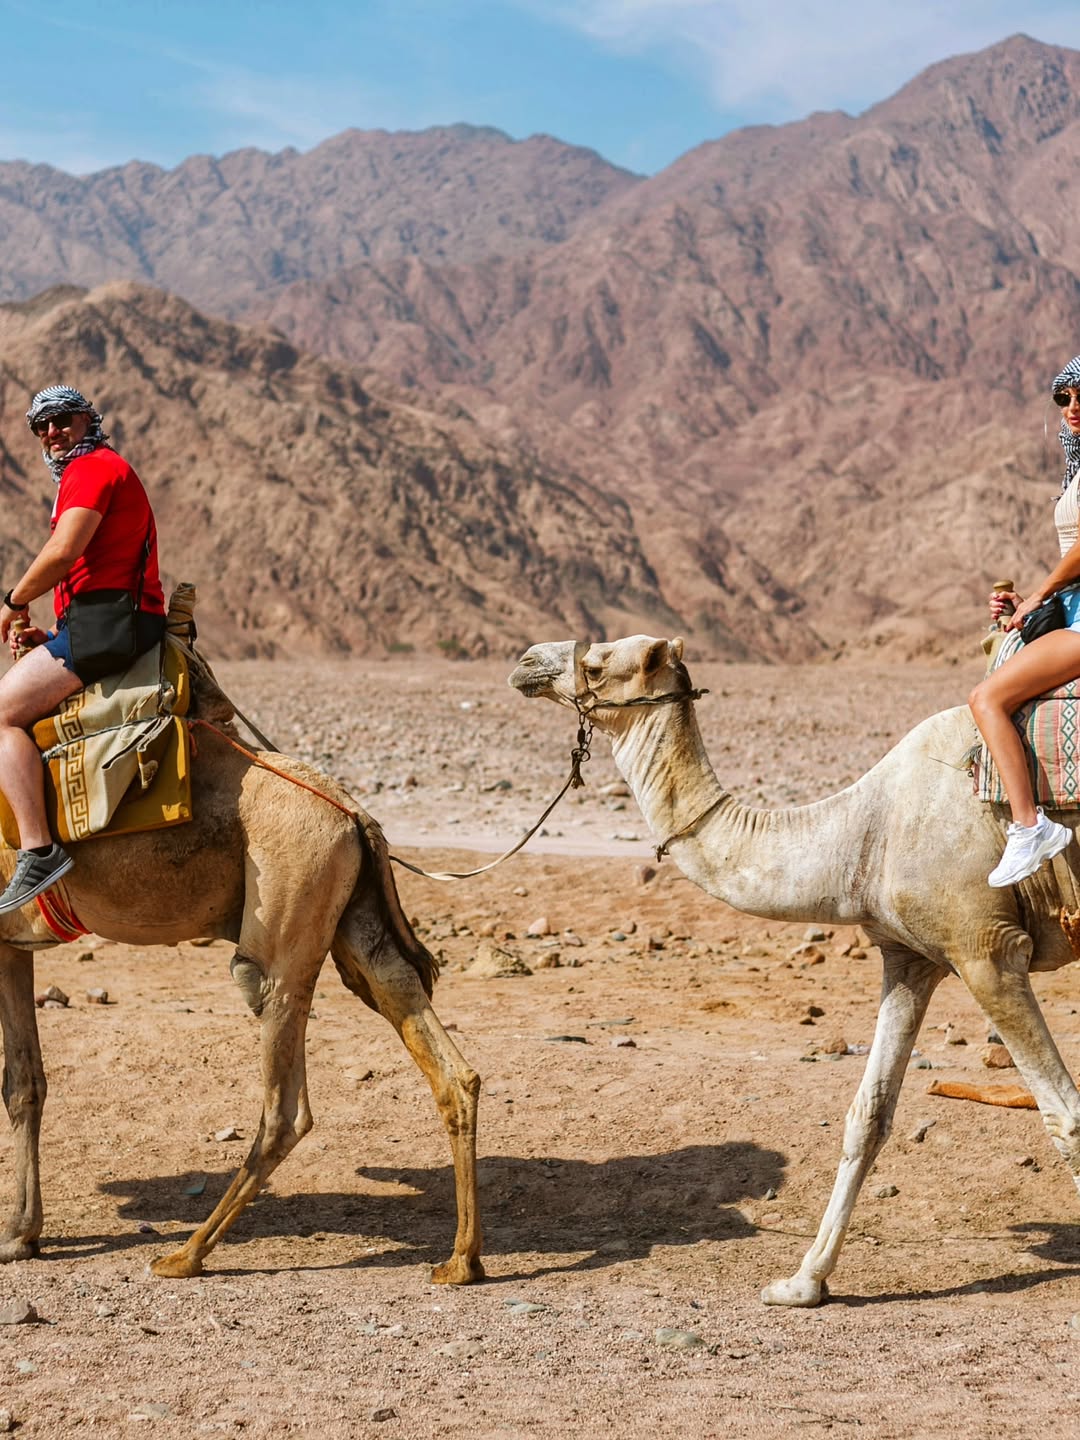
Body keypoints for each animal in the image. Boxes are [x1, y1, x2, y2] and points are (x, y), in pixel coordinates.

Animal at [0, 669, 483, 1284]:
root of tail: (355, 815)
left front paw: (19, 1233)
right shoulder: (11, 945)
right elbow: (23, 1082)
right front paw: (21, 1235)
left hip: (281, 936)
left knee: (285, 1106)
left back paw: (188, 1254)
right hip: (358, 926)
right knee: (444, 1060)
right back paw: (462, 1260)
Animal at [509, 633, 1080, 1307]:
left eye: (596, 665)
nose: (526, 662)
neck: (866, 832)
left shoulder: (986, 950)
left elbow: (1065, 1117)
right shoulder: (911, 958)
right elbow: (867, 1118)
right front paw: (804, 1282)